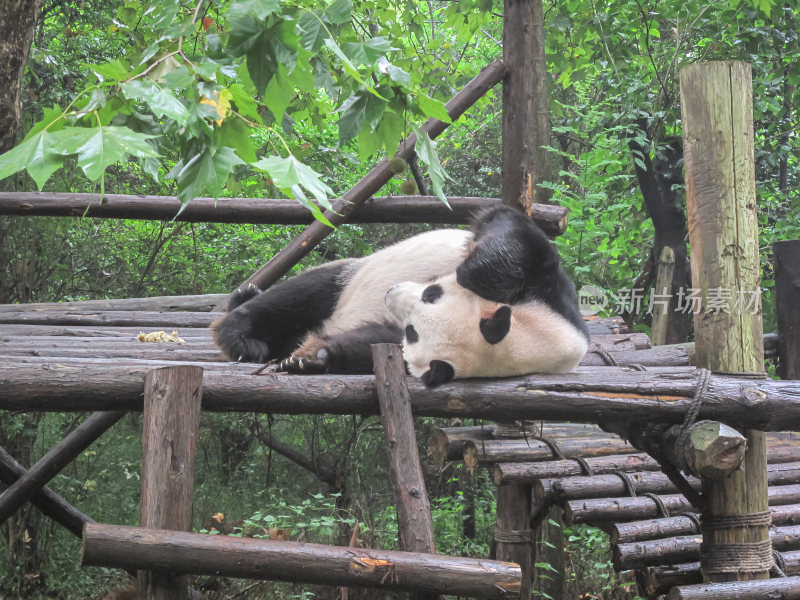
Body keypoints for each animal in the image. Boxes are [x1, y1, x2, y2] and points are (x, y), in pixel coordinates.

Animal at [211, 204, 588, 386]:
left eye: (412, 332)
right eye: (432, 292)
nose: (392, 294)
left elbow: (375, 343)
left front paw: (312, 357)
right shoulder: (554, 290)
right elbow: (509, 228)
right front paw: (471, 271)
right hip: (351, 275)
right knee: (302, 294)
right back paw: (241, 333)